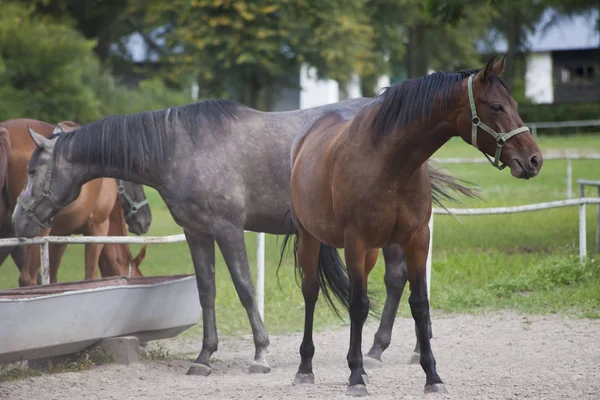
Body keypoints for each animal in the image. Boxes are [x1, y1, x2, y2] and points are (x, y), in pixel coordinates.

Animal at [0, 117, 149, 286]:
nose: (146, 221)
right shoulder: (98, 228)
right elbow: (90, 277)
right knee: (28, 277)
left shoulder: (60, 238)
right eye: (136, 181)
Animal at [282, 56, 544, 396]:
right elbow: (358, 305)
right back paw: (306, 367)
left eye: (514, 104)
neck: (389, 164)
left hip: (370, 254)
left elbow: (418, 304)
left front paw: (432, 376)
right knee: (311, 292)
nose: (534, 160)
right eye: (497, 106)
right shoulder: (356, 241)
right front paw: (355, 378)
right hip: (310, 239)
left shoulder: (417, 239)